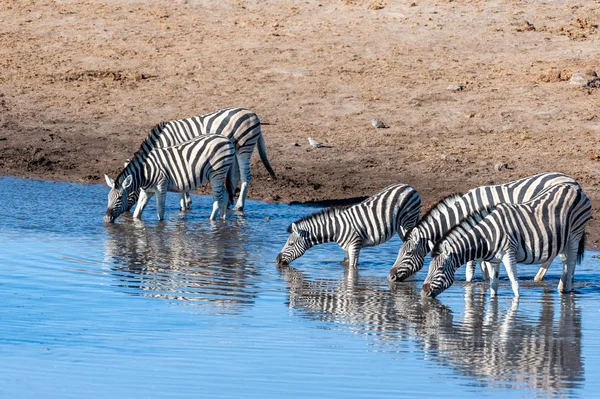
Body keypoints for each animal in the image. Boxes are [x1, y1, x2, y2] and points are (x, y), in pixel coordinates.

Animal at [103, 128, 234, 223]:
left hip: (217, 173)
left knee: (217, 200)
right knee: (225, 194)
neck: (144, 173)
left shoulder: (161, 186)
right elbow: (137, 214)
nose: (106, 219)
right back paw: (222, 219)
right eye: (108, 198)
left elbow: (160, 211)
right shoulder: (146, 191)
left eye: (120, 198)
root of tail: (226, 139)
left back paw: (211, 221)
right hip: (218, 175)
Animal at [125, 106, 278, 212]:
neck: (163, 140)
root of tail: (253, 114)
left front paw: (183, 204)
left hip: (244, 147)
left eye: (131, 187)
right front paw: (186, 202)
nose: (125, 211)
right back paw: (229, 203)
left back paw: (239, 206)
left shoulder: (176, 155)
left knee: (246, 175)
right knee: (235, 176)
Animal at [274, 184, 420, 268]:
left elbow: (352, 269)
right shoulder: (348, 248)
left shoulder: (355, 245)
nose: (277, 260)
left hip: (408, 220)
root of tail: (408, 186)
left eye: (291, 244)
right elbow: (346, 264)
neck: (336, 228)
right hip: (400, 226)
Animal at [386, 173, 580, 282]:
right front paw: (486, 280)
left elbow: (472, 265)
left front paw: (470, 284)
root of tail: (571, 179)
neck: (465, 210)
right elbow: (483, 262)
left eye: (408, 253)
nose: (391, 277)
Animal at [422, 183, 592, 298]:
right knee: (564, 261)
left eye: (440, 269)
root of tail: (574, 187)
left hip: (575, 233)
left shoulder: (508, 254)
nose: (423, 292)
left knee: (570, 261)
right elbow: (493, 286)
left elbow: (515, 284)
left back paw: (565, 289)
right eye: (428, 268)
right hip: (562, 237)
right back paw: (561, 287)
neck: (487, 236)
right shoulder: (493, 261)